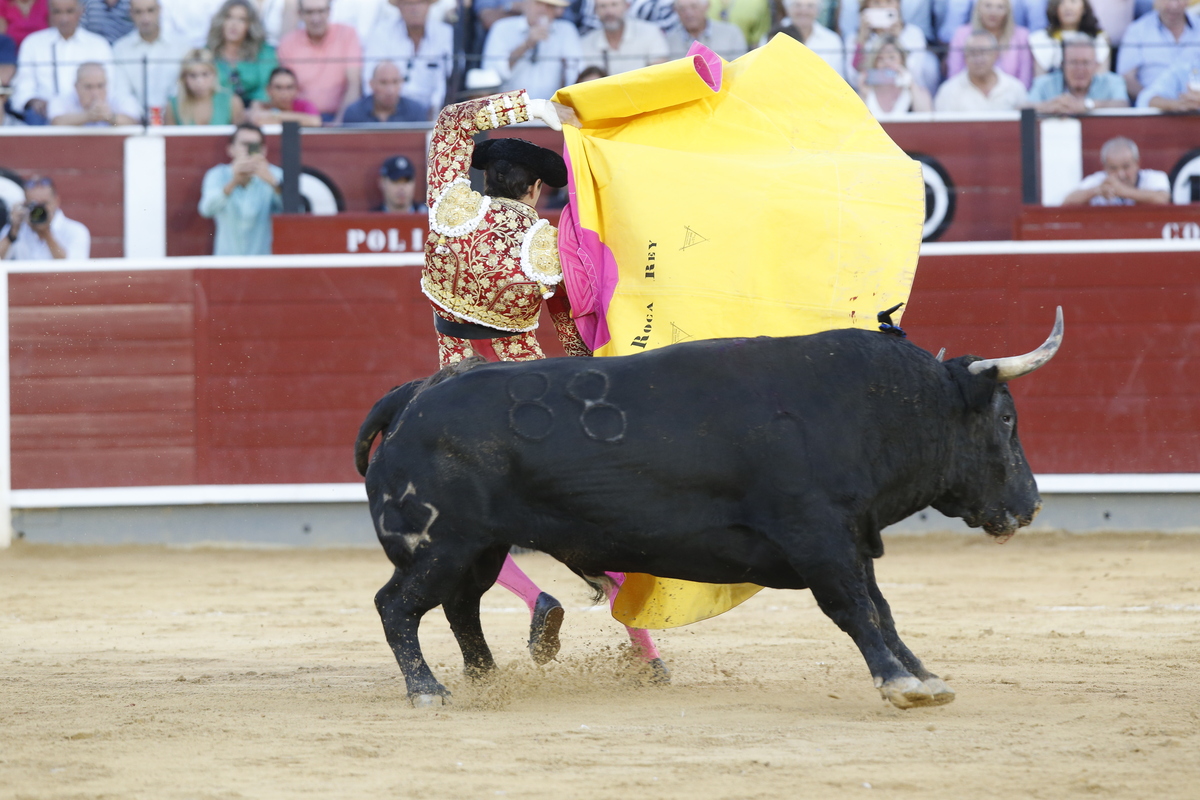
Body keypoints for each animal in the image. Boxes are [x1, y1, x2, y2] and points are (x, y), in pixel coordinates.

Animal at [352, 309, 1060, 710]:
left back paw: (486, 680)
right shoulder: (818, 538)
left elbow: (881, 609)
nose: (1029, 505)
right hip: (438, 545)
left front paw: (924, 676)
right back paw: (429, 691)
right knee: (397, 606)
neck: (863, 405)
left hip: (477, 547)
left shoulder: (851, 539)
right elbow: (855, 609)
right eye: (1005, 419)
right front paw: (898, 684)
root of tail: (415, 394)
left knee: (461, 607)